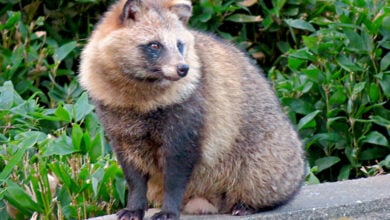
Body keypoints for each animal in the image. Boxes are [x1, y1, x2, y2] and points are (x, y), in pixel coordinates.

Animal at [78, 0, 304, 220]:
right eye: (155, 45)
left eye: (179, 45)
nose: (183, 69)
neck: (139, 93)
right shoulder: (118, 126)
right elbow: (133, 173)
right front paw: (135, 205)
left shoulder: (188, 116)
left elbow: (176, 171)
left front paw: (169, 208)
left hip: (268, 156)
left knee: (259, 176)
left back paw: (249, 203)